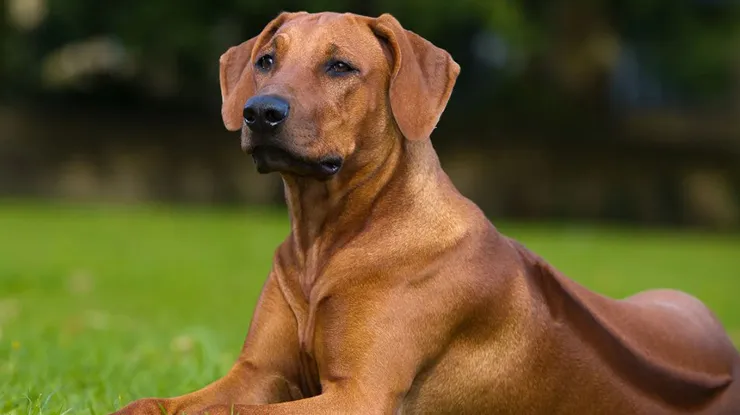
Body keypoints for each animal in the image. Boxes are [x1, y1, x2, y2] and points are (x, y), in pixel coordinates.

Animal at [111, 10, 740, 415]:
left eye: (340, 67)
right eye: (265, 61)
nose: (259, 111)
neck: (328, 239)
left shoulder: (358, 396)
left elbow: (230, 413)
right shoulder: (259, 374)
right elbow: (149, 404)